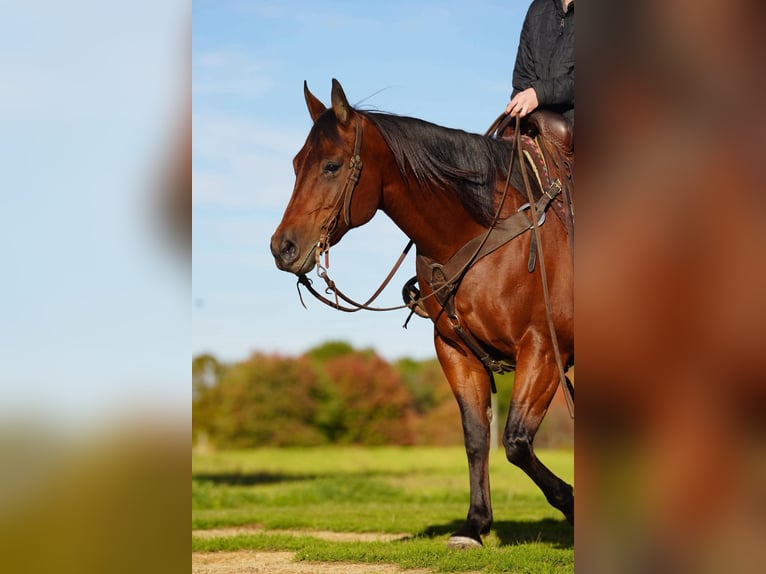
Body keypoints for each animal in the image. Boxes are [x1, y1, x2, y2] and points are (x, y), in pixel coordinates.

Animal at [270, 79, 574, 548]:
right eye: (296, 163)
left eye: (332, 166)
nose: (282, 247)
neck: (480, 230)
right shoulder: (455, 350)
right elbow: (477, 437)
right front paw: (475, 525)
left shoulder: (542, 349)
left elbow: (517, 442)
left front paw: (571, 504)